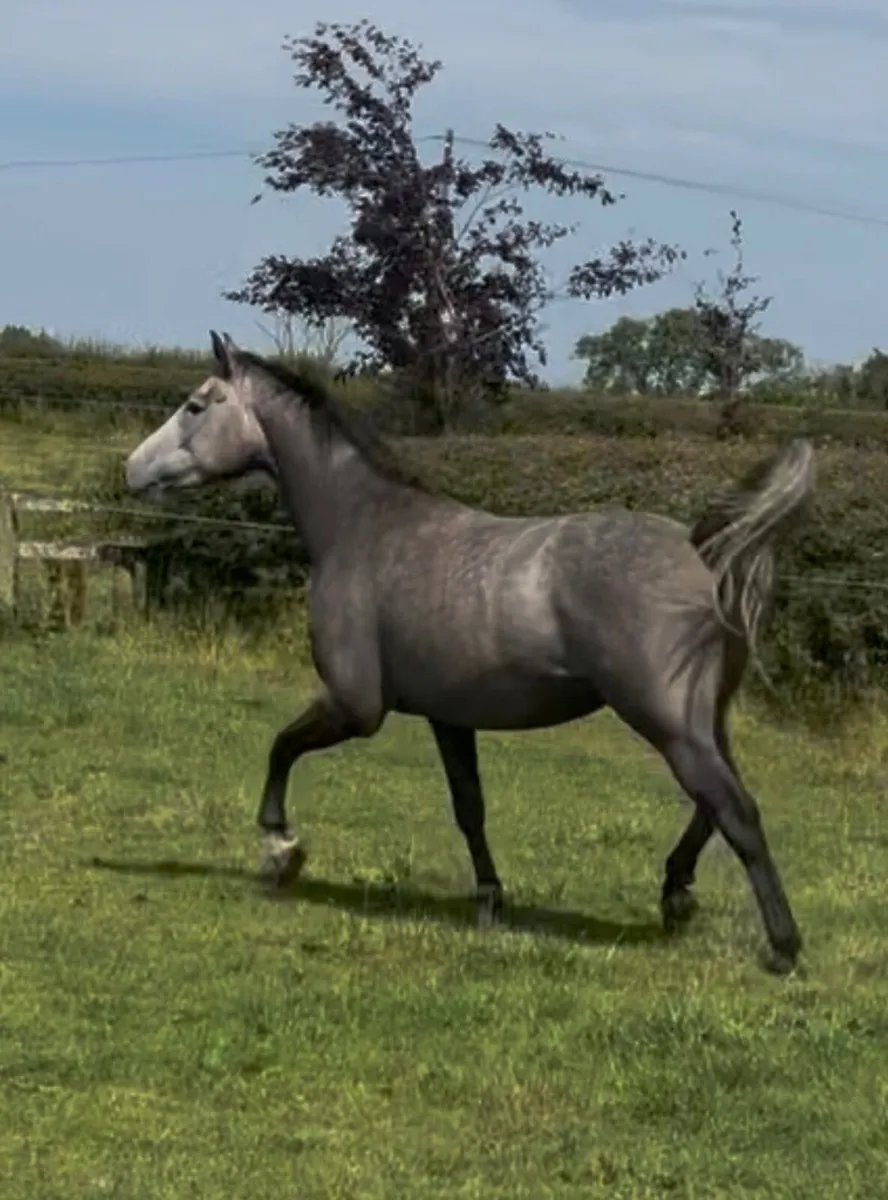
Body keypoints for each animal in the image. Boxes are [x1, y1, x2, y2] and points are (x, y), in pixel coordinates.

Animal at [124, 331, 815, 973]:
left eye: (195, 405)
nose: (131, 470)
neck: (362, 528)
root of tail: (700, 553)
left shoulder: (356, 706)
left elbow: (281, 747)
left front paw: (279, 851)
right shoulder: (448, 717)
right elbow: (470, 809)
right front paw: (490, 900)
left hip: (665, 720)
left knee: (735, 809)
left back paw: (782, 947)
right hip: (701, 719)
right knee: (715, 802)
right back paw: (675, 895)